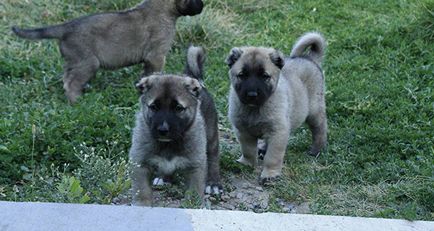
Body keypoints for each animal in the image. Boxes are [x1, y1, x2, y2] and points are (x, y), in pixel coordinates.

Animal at [11, 0, 205, 103]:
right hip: (87, 64)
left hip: (73, 63)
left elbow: (145, 75)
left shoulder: (150, 60)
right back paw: (77, 102)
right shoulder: (156, 55)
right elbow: (155, 73)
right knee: (71, 84)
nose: (202, 5)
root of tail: (66, 27)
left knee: (66, 80)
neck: (163, 9)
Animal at [129, 45, 220, 206]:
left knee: (213, 157)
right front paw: (142, 204)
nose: (163, 130)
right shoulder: (139, 162)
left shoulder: (195, 166)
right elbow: (142, 190)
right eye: (154, 107)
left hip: (211, 136)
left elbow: (194, 193)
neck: (168, 144)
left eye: (178, 108)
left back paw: (213, 183)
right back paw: (164, 178)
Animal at [225, 32, 328, 184]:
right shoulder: (243, 131)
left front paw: (270, 174)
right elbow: (248, 150)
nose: (252, 95)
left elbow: (273, 157)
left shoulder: (278, 132)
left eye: (264, 76)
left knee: (320, 129)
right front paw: (247, 163)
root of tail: (309, 58)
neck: (255, 109)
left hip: (314, 111)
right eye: (242, 75)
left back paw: (317, 150)